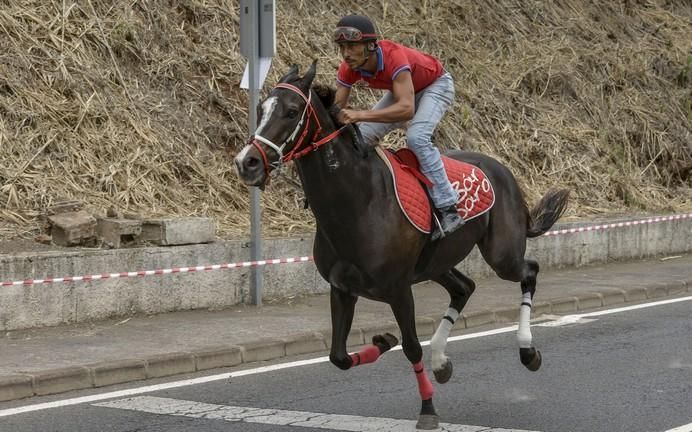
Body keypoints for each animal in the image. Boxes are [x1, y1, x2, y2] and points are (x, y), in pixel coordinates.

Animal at [235, 62, 572, 430]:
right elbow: (338, 356)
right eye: (260, 110)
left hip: (502, 254)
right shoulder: (342, 288)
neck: (356, 202)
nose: (247, 162)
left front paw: (427, 409)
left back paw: (527, 351)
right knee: (464, 287)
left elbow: (411, 347)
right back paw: (441, 362)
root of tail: (503, 170)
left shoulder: (398, 289)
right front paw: (385, 340)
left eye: (292, 111)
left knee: (529, 271)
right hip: (437, 263)